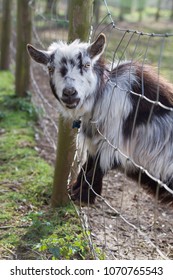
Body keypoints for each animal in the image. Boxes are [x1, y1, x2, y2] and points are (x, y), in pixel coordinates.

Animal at [27, 34, 173, 203]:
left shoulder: (114, 145)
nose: (69, 93)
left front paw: (83, 196)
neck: (103, 96)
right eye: (50, 68)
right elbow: (87, 166)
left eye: (87, 65)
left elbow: (95, 170)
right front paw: (75, 190)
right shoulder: (95, 142)